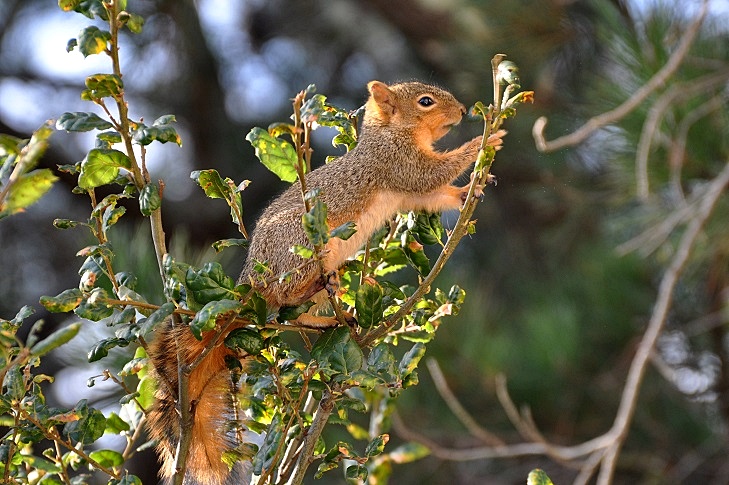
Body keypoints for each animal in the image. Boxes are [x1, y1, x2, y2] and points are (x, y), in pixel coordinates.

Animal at [146, 81, 504, 482]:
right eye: (425, 102)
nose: (462, 111)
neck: (390, 134)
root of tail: (251, 280)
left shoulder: (408, 190)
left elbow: (433, 193)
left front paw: (468, 191)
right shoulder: (396, 163)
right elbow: (431, 174)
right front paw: (485, 141)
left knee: (288, 312)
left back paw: (333, 315)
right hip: (298, 247)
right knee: (285, 295)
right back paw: (317, 287)